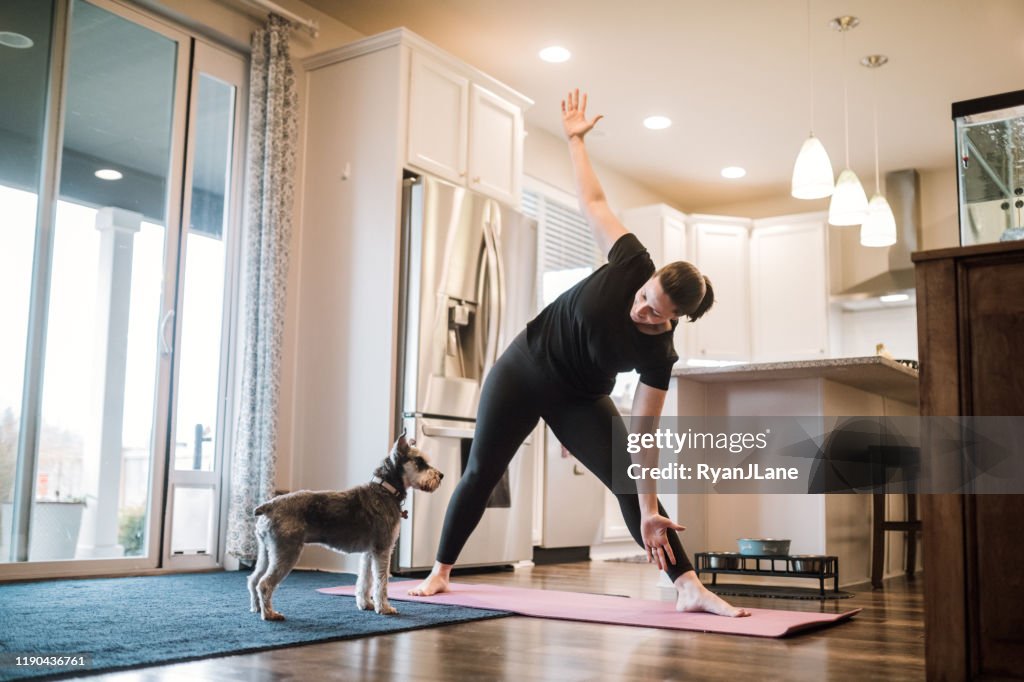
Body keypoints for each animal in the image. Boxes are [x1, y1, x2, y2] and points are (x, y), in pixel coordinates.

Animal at [248, 432, 444, 618]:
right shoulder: (383, 549)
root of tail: (269, 506)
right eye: (419, 461)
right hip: (287, 552)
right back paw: (270, 614)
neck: (385, 489)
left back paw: (257, 608)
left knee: (254, 579)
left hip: (267, 553)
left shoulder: (369, 552)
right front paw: (384, 608)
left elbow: (365, 580)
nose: (441, 475)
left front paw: (366, 604)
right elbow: (381, 581)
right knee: (264, 584)